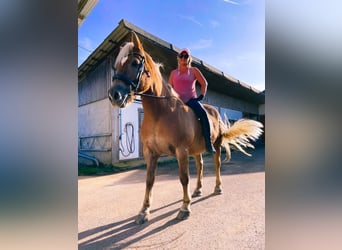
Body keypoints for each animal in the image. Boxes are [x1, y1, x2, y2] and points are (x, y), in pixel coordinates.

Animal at [108, 31, 264, 225]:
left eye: (135, 63)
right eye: (116, 65)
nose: (114, 95)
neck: (160, 114)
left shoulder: (181, 151)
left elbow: (184, 178)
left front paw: (184, 208)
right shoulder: (150, 153)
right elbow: (149, 180)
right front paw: (144, 211)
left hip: (216, 146)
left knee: (217, 165)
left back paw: (217, 188)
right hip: (196, 149)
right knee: (200, 165)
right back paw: (197, 190)